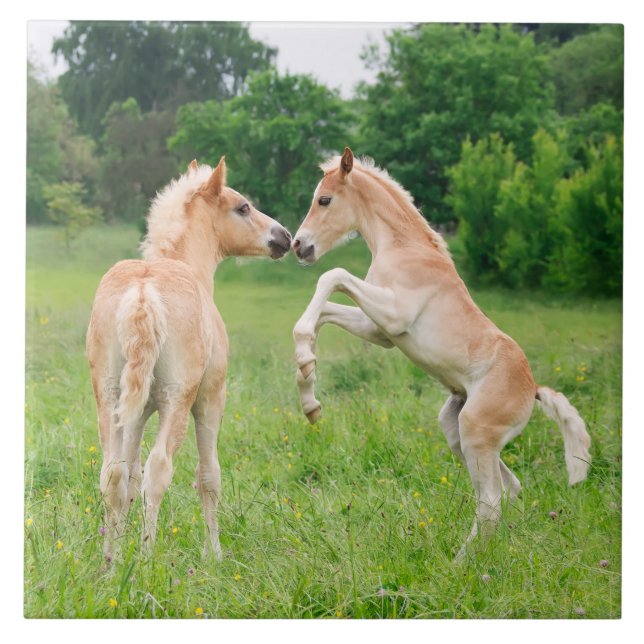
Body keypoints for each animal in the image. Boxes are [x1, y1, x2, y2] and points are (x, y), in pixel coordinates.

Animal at [86, 157, 291, 562]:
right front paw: (215, 554)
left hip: (110, 397)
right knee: (159, 469)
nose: (284, 237)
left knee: (113, 473)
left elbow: (128, 477)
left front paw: (120, 544)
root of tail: (143, 292)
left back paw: (110, 563)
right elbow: (208, 476)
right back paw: (147, 560)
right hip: (177, 400)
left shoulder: (137, 412)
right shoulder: (211, 399)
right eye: (243, 207)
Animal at [291, 147, 591, 559]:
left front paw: (306, 367)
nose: (299, 246)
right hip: (457, 429)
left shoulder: (393, 314)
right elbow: (324, 313)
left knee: (491, 501)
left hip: (476, 431)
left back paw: (460, 563)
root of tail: (533, 390)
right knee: (507, 489)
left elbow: (331, 277)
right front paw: (308, 388)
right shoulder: (381, 330)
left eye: (324, 200)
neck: (404, 248)